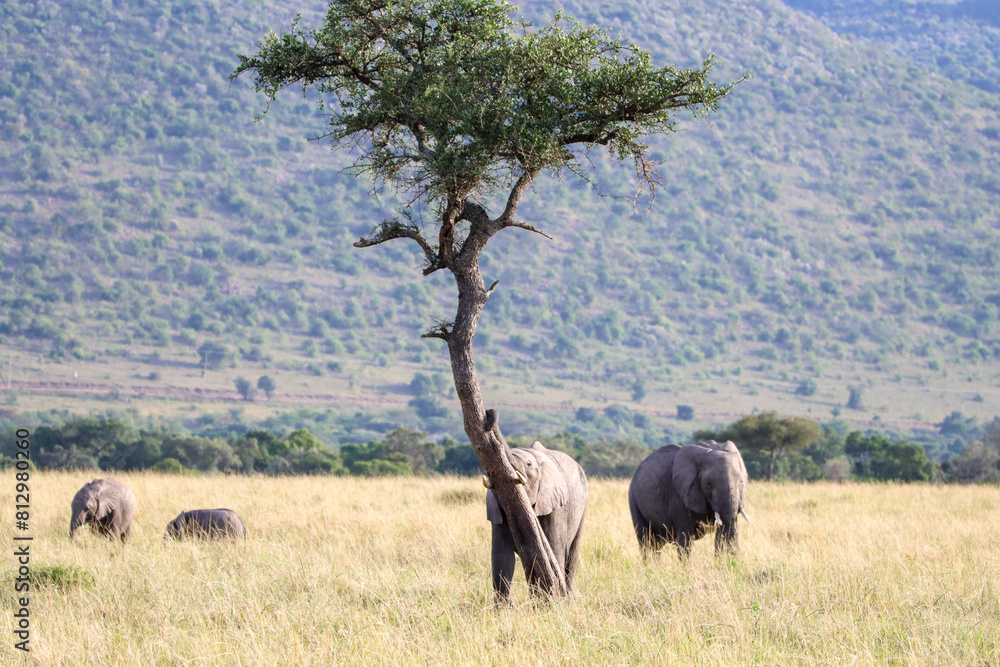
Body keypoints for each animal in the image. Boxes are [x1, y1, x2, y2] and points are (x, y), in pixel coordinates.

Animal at [485, 441, 587, 602]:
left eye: (528, 464)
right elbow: (502, 557)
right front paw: (503, 608)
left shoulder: (556, 507)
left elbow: (553, 551)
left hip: (581, 508)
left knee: (571, 558)